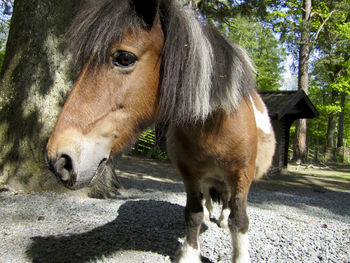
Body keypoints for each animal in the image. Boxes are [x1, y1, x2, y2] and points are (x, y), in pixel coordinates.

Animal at [46, 1, 276, 262]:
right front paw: (188, 253)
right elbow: (193, 213)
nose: (59, 160)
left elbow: (240, 220)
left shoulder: (242, 174)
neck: (215, 126)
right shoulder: (190, 175)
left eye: (124, 57)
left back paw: (223, 218)